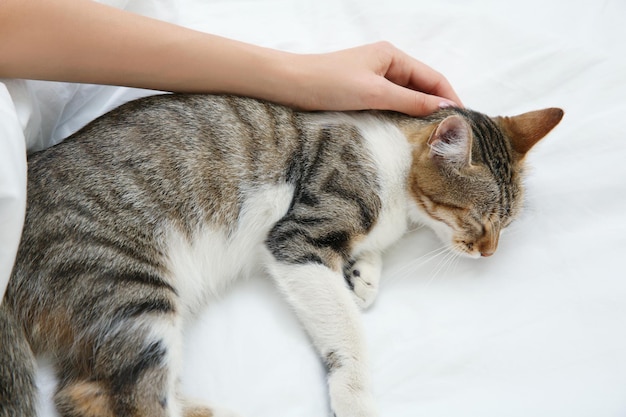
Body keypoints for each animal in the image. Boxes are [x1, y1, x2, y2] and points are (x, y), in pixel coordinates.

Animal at [0, 94, 560, 416]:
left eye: (507, 225)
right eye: (478, 221)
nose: (488, 253)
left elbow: (363, 261)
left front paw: (364, 276)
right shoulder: (297, 239)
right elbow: (347, 331)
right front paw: (355, 396)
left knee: (85, 394)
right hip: (130, 289)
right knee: (134, 400)